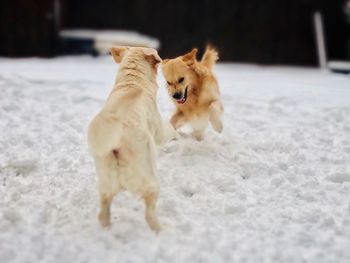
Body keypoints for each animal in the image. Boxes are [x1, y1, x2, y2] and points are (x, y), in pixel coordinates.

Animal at [87, 46, 175, 232]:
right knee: (149, 215)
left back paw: (107, 230)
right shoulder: (158, 130)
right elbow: (170, 128)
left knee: (102, 214)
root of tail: (116, 144)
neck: (132, 81)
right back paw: (162, 231)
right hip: (151, 182)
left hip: (106, 185)